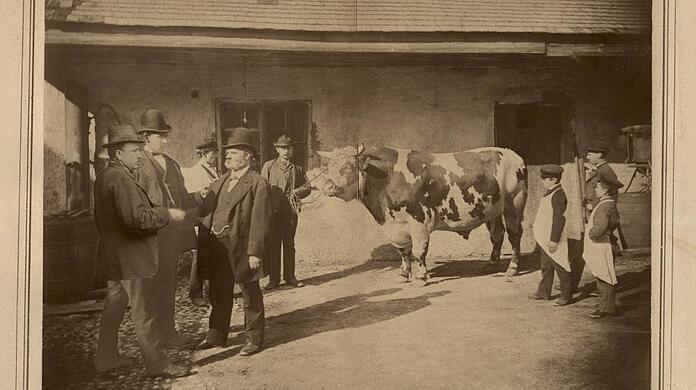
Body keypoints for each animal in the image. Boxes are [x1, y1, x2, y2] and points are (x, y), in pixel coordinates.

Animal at [316, 145, 528, 284]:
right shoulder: (397, 225)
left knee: (514, 235)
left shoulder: (420, 220)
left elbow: (419, 251)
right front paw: (404, 274)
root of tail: (512, 153)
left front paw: (420, 276)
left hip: (514, 204)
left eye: (347, 167)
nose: (328, 187)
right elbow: (403, 251)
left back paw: (512, 269)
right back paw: (491, 265)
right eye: (328, 168)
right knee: (497, 235)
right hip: (493, 210)